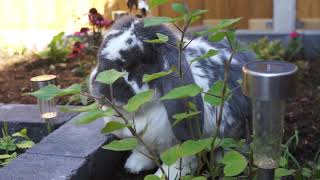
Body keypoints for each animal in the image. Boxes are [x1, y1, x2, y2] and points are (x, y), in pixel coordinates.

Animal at [90, 15, 255, 179]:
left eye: (140, 64)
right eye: (99, 58)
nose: (102, 89)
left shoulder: (183, 144)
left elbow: (178, 161)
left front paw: (163, 176)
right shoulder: (143, 139)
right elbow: (143, 150)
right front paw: (133, 166)